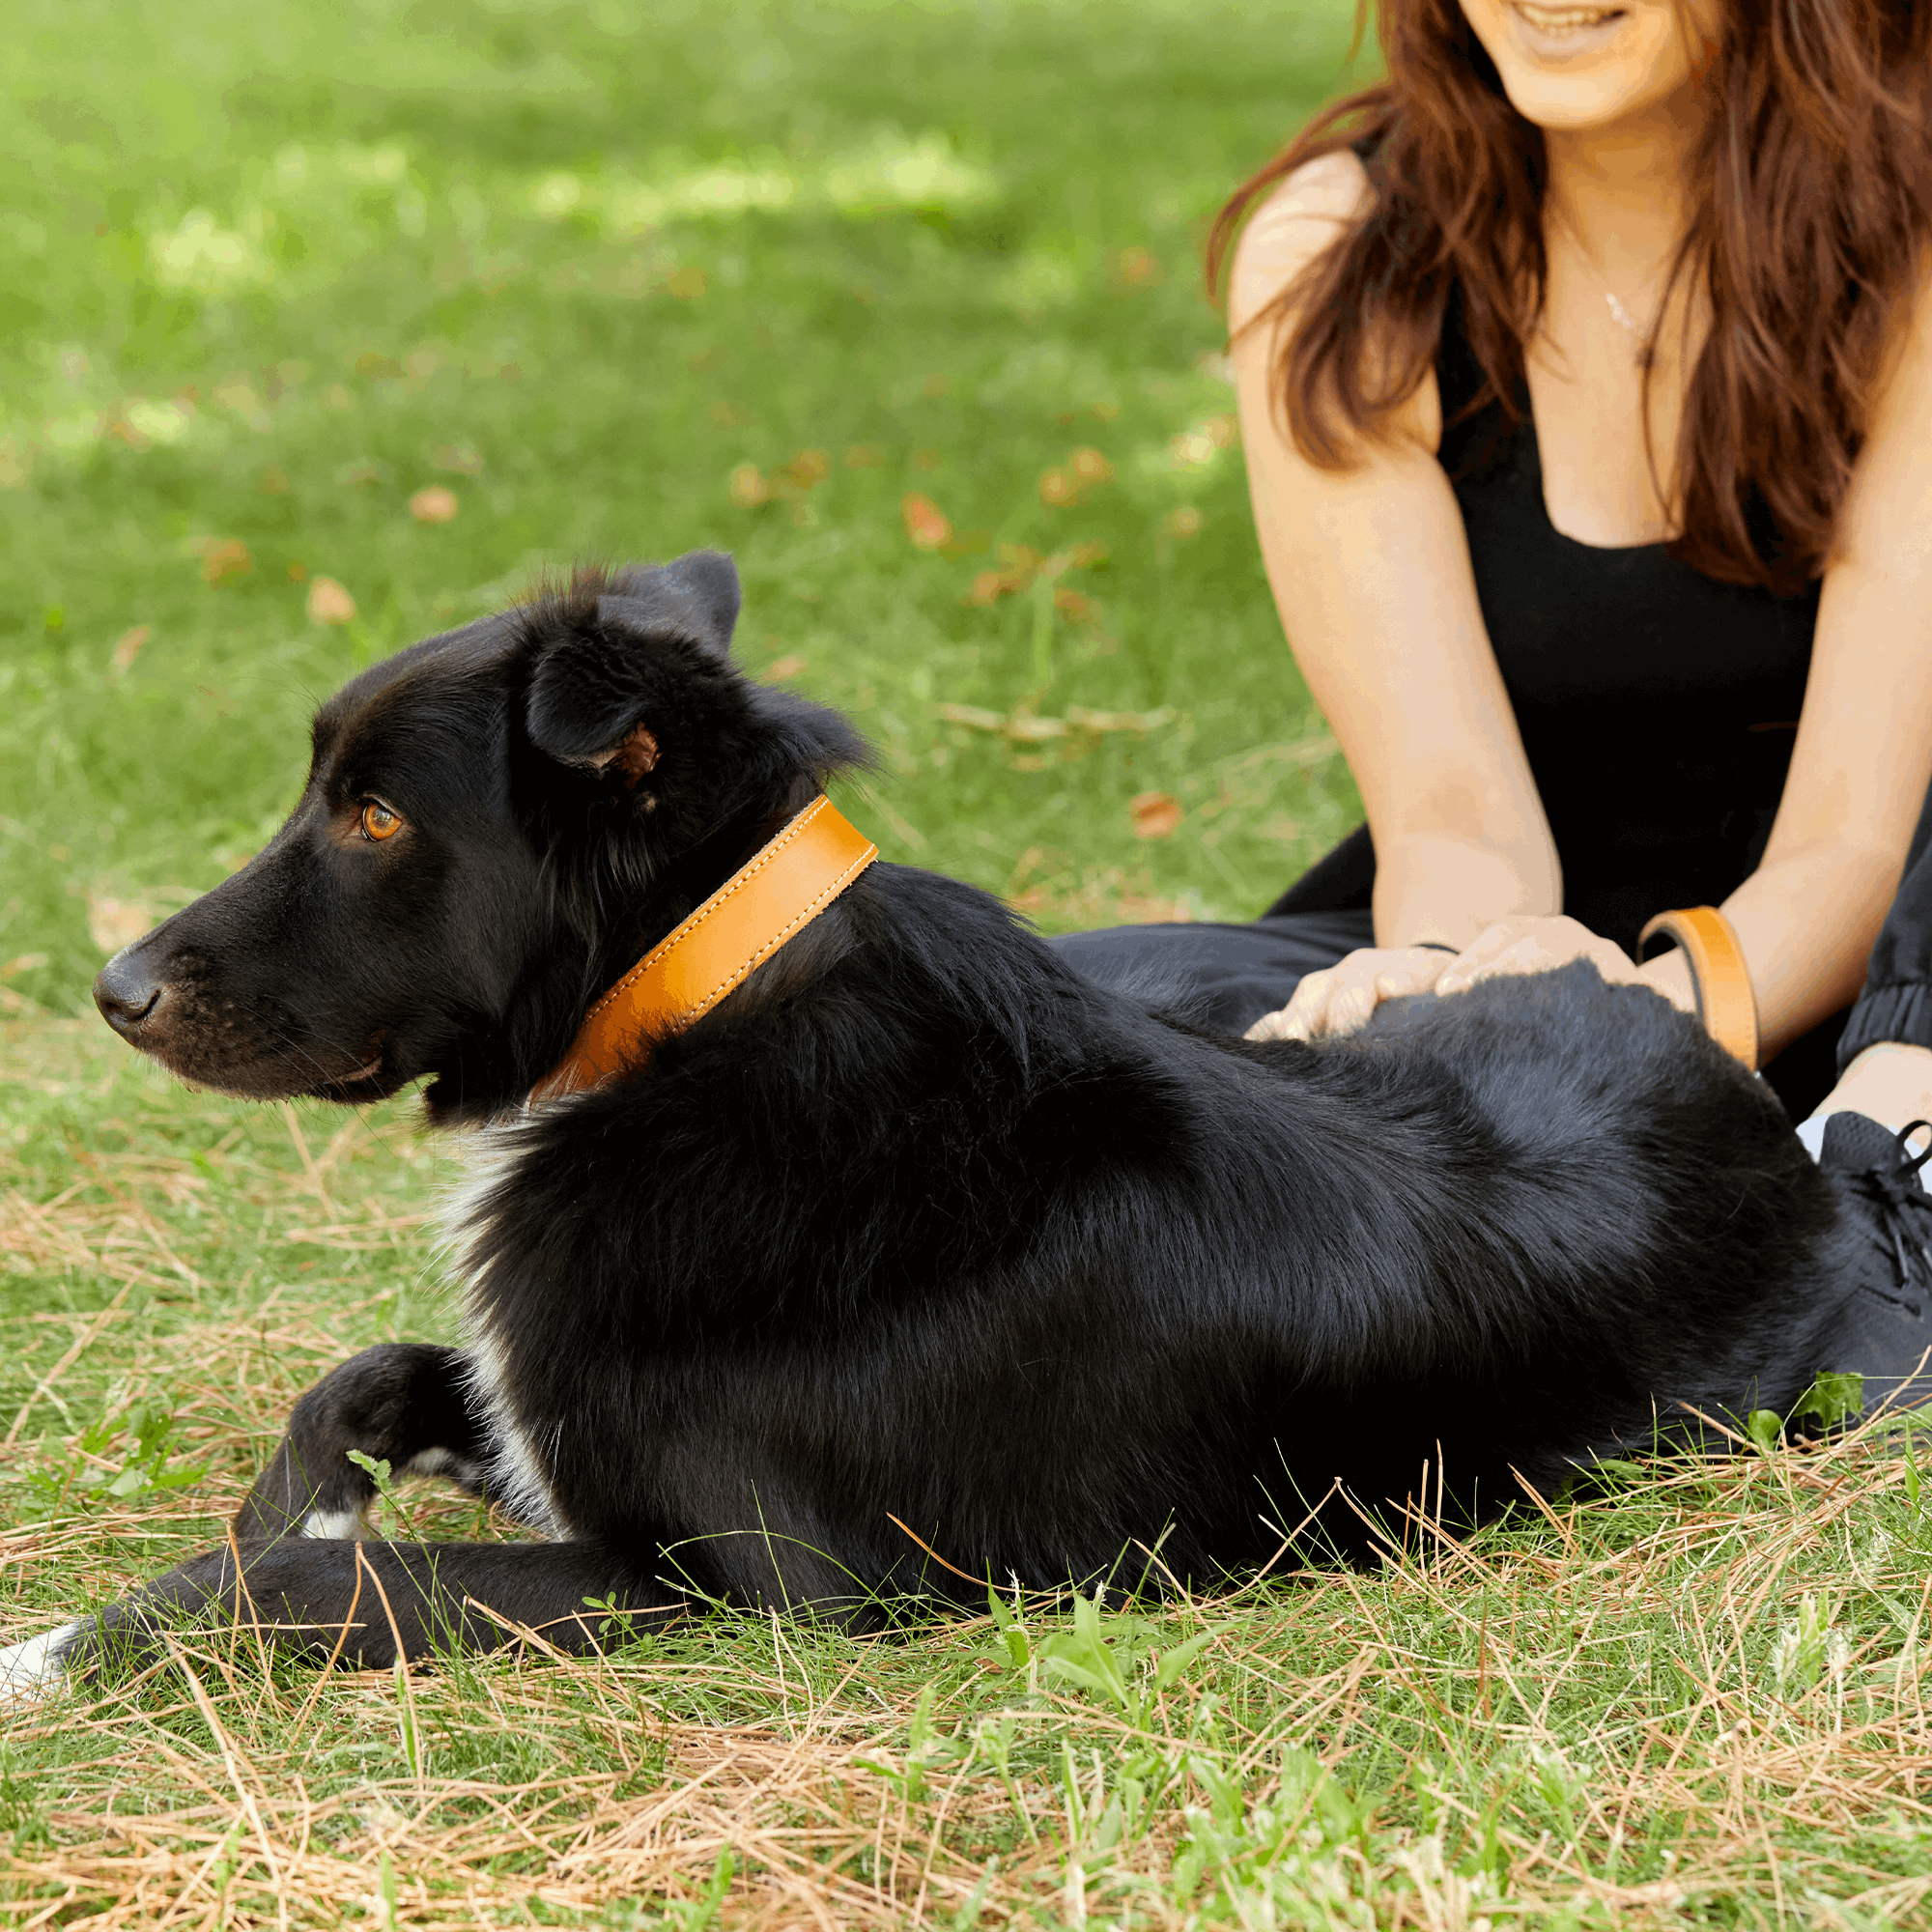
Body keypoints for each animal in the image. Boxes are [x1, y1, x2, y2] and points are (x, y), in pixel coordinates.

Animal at [3, 556, 1870, 1692]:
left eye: (376, 817)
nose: (110, 987)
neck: (695, 1021)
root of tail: (1708, 1062)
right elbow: (358, 1387)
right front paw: (296, 1500)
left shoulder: (749, 1589)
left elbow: (319, 1587)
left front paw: (64, 1648)